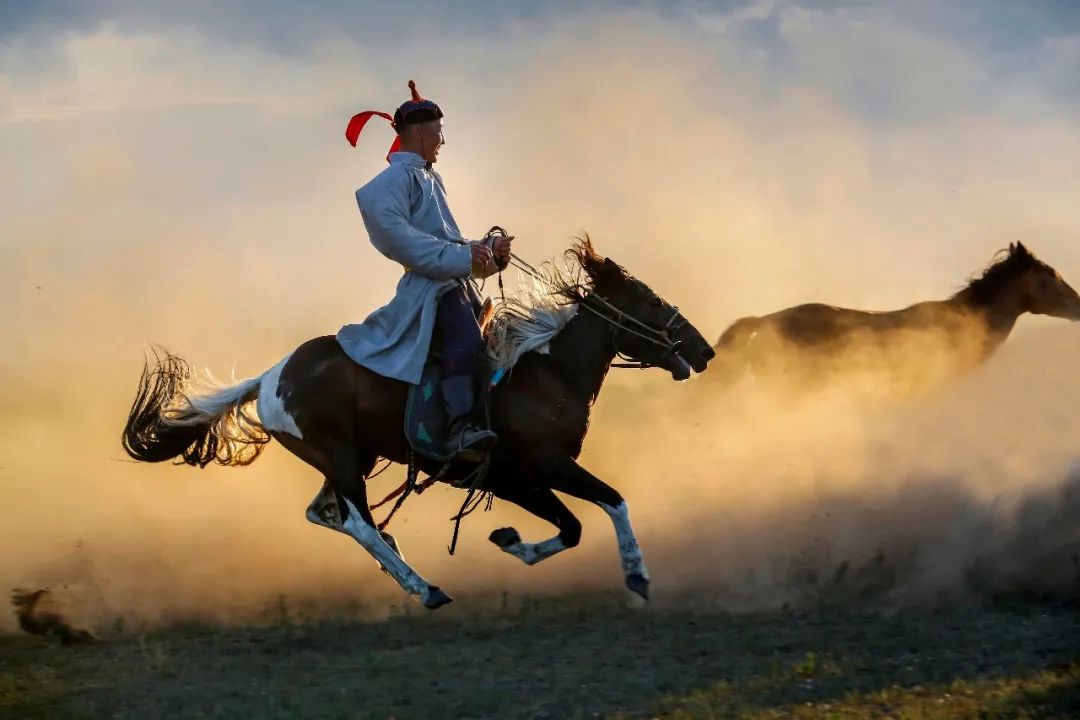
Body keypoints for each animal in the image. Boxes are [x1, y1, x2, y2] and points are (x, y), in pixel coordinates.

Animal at [120, 240, 717, 608]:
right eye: (651, 300)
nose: (704, 350)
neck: (544, 370)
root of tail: (271, 378)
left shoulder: (522, 475)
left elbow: (583, 520)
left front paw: (513, 540)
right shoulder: (533, 469)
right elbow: (599, 508)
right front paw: (633, 573)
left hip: (351, 458)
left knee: (325, 513)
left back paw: (398, 561)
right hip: (340, 456)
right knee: (354, 519)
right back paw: (423, 587)